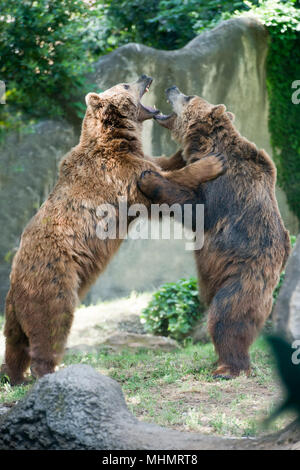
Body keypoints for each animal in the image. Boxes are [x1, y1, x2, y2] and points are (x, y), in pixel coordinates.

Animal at [0, 78, 225, 386]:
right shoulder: (119, 176)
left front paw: (182, 152)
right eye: (126, 84)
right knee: (51, 325)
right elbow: (160, 184)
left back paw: (15, 376)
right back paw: (48, 371)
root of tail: (14, 285)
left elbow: (160, 162)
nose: (145, 76)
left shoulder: (136, 157)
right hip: (53, 280)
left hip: (17, 308)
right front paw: (211, 163)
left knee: (15, 343)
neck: (118, 138)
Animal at [138, 84, 290, 378]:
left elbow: (198, 211)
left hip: (243, 277)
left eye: (188, 96)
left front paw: (149, 178)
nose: (172, 86)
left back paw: (228, 367)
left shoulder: (227, 184)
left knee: (226, 318)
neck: (206, 144)